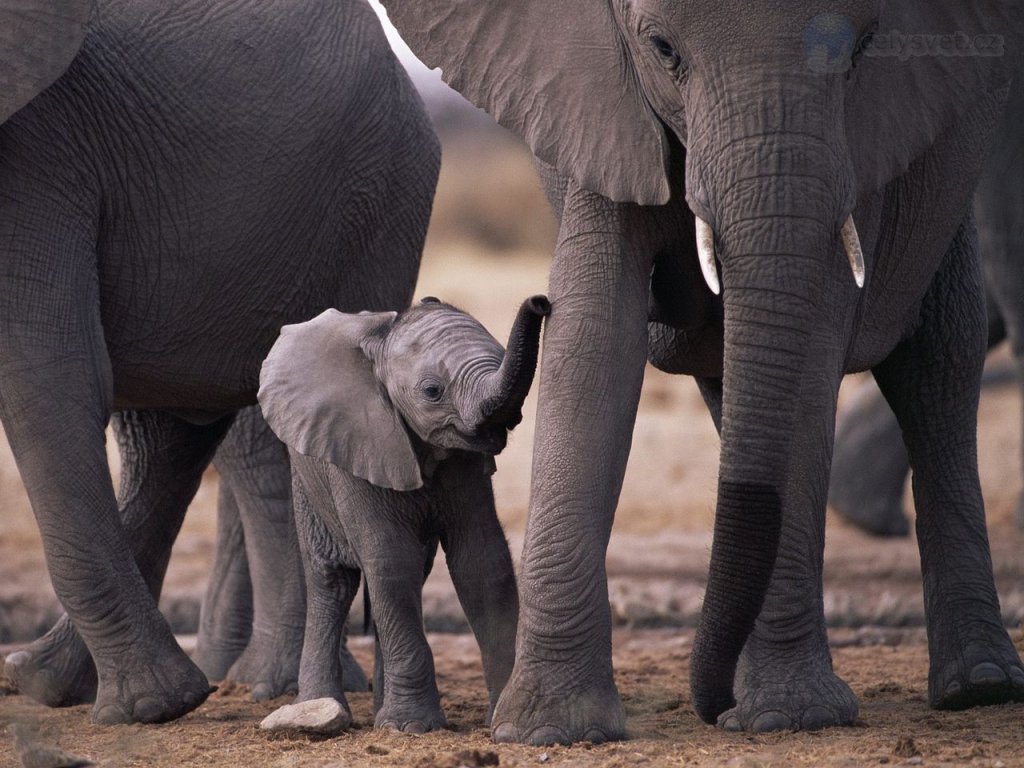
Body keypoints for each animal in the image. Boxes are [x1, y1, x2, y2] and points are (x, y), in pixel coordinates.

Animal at [0, 0, 436, 729]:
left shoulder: (37, 154)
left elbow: (44, 378)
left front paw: (155, 709)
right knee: (167, 435)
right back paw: (45, 679)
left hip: (379, 200)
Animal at [260, 294, 552, 733]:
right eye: (432, 391)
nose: (541, 302)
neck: (382, 342)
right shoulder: (359, 444)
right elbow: (390, 560)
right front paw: (411, 728)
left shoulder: (466, 465)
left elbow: (483, 563)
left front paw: (499, 718)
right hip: (307, 479)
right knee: (334, 581)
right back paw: (321, 707)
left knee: (413, 573)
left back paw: (380, 710)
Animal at [382, 0, 1024, 745]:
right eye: (663, 49)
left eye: (863, 51)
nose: (711, 708)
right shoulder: (603, 109)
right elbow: (591, 339)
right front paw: (551, 730)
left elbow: (813, 343)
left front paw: (788, 718)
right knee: (735, 379)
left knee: (938, 362)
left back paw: (979, 687)